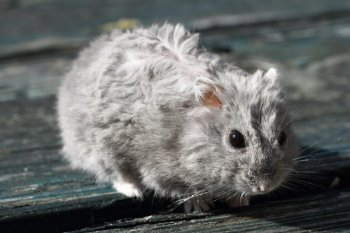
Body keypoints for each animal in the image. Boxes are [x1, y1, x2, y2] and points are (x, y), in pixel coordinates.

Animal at [57, 23, 298, 213]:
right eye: (235, 139)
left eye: (283, 137)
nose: (265, 187)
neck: (187, 134)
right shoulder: (159, 170)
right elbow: (184, 190)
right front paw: (202, 206)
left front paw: (240, 201)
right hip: (100, 148)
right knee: (116, 174)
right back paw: (136, 191)